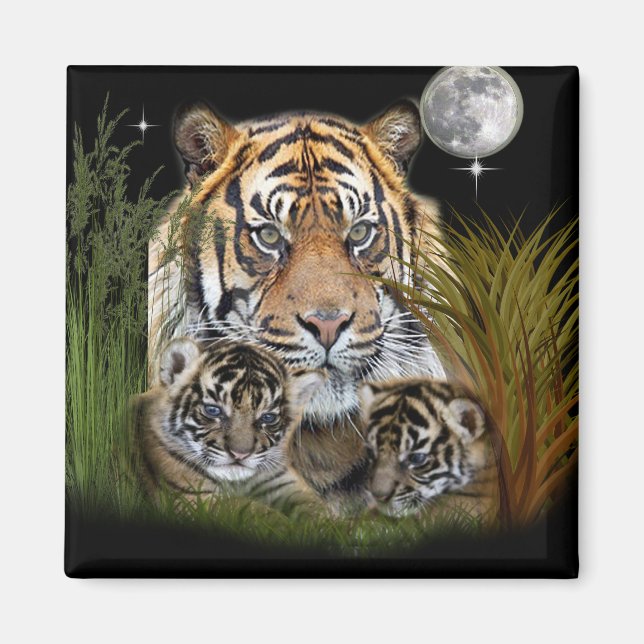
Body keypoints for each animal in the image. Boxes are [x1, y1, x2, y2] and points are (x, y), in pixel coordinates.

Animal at [133, 336, 326, 514]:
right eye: (213, 410)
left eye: (268, 418)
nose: (240, 454)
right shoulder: (193, 497)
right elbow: (257, 512)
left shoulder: (283, 481)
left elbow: (318, 511)